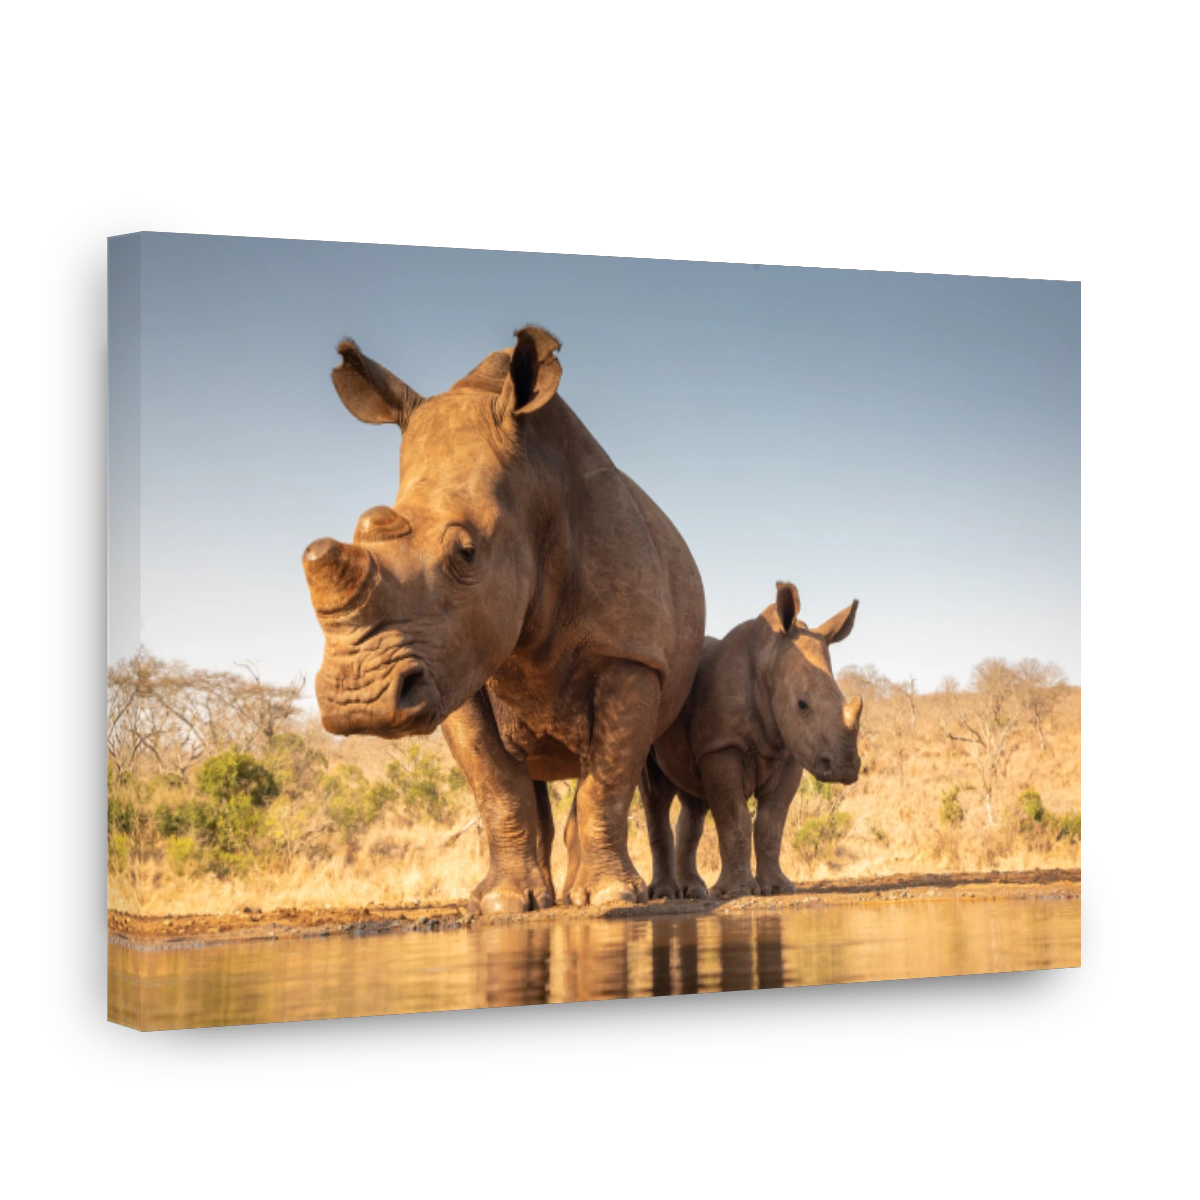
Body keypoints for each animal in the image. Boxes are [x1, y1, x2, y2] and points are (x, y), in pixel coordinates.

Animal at [301, 325, 706, 913]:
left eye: (466, 553)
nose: (359, 701)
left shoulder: (629, 653)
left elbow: (607, 780)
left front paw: (609, 897)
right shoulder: (454, 664)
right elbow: (495, 784)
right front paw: (502, 903)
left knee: (642, 776)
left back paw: (638, 894)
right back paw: (550, 896)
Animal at [572, 582, 861, 900]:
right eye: (802, 704)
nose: (846, 768)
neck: (767, 658)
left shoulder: (789, 753)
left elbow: (771, 823)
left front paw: (778, 887)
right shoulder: (721, 747)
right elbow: (734, 818)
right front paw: (738, 891)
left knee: (693, 802)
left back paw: (694, 890)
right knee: (655, 794)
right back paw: (665, 894)